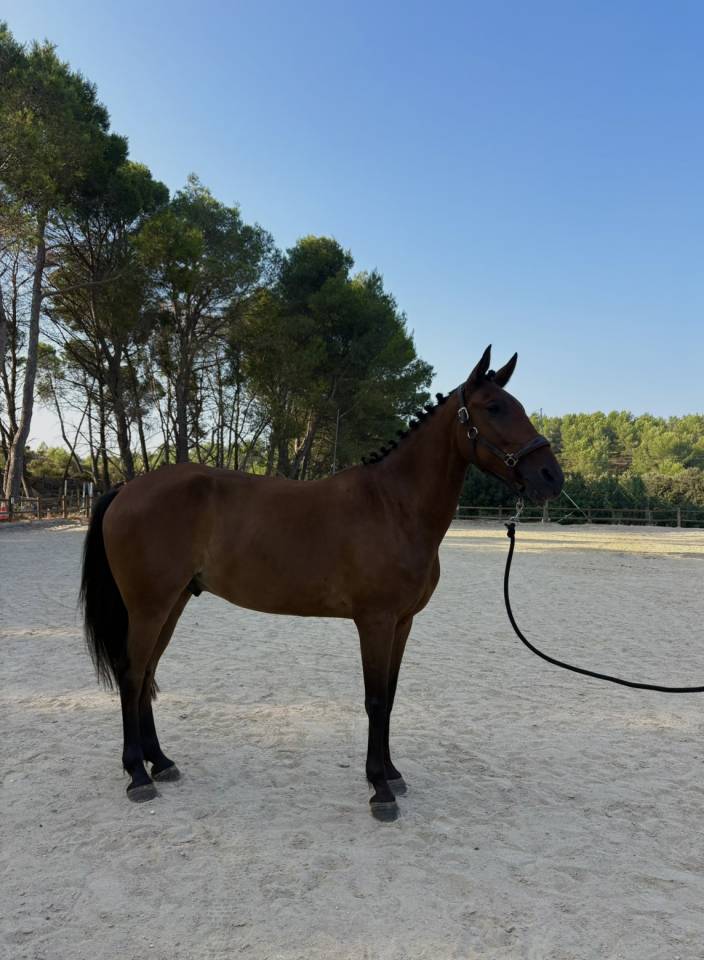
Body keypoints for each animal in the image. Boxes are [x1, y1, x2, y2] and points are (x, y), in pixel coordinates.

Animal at [80, 345, 563, 820]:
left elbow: (390, 696)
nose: (551, 477)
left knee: (147, 675)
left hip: (174, 602)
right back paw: (137, 776)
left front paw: (392, 774)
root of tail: (126, 489)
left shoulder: (402, 622)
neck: (394, 506)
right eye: (494, 407)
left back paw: (160, 763)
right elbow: (374, 700)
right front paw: (379, 790)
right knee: (132, 675)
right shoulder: (374, 621)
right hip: (150, 606)